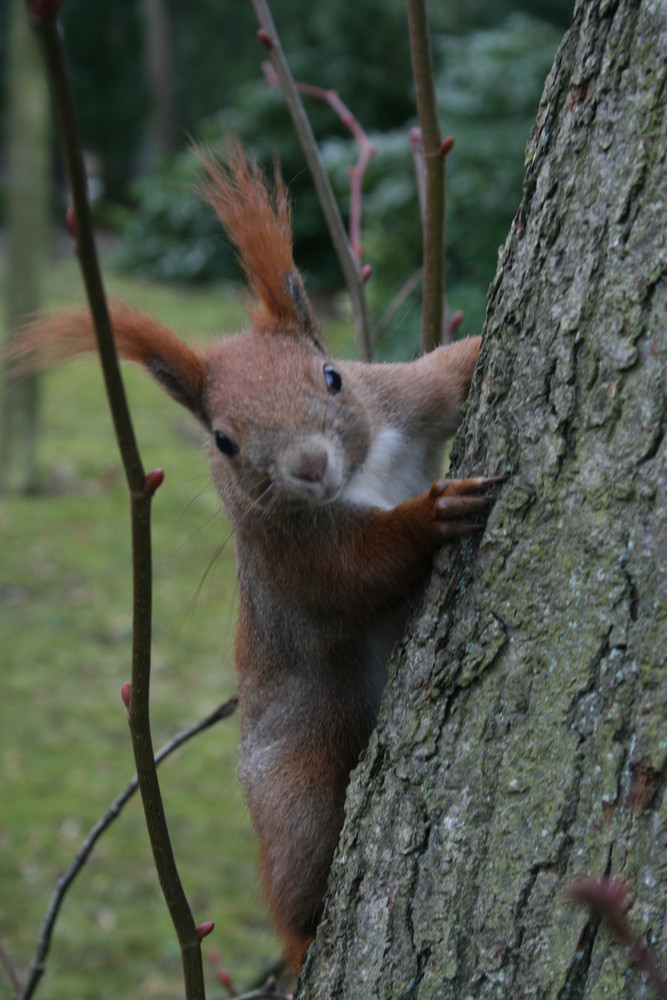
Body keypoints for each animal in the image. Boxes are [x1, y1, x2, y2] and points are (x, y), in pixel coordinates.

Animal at [17, 143, 500, 968]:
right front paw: (431, 513)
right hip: (295, 781)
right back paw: (305, 930)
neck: (362, 471)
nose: (308, 466)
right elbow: (358, 570)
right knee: (297, 881)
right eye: (223, 440)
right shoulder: (288, 552)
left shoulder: (400, 399)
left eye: (331, 375)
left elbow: (442, 372)